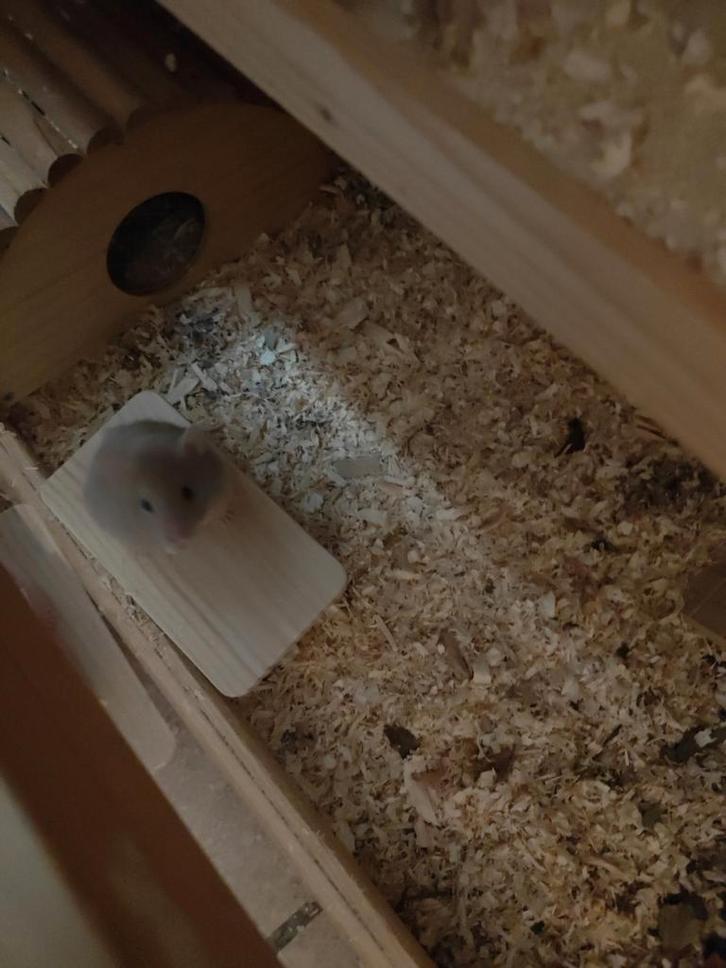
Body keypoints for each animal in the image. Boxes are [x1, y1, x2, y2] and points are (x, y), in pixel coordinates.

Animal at [84, 420, 232, 554]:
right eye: (146, 506)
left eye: (188, 492)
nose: (183, 537)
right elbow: (169, 547)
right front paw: (180, 547)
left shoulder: (220, 491)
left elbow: (218, 512)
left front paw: (227, 520)